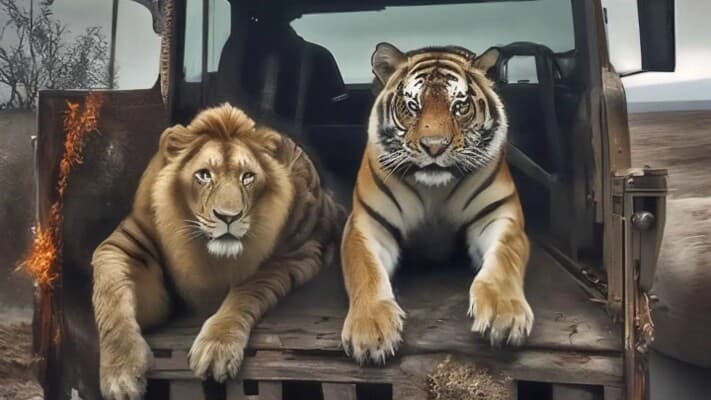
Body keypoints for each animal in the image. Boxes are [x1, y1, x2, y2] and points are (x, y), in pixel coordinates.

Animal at [91, 104, 343, 399]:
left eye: (247, 177)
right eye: (204, 175)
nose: (228, 217)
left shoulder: (293, 255)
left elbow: (246, 292)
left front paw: (216, 350)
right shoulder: (123, 245)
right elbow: (110, 294)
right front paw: (121, 375)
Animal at [340, 43, 533, 365]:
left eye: (460, 106)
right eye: (412, 106)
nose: (434, 146)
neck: (434, 190)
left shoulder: (498, 217)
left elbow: (505, 257)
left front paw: (504, 315)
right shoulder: (366, 226)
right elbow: (365, 270)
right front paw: (370, 331)